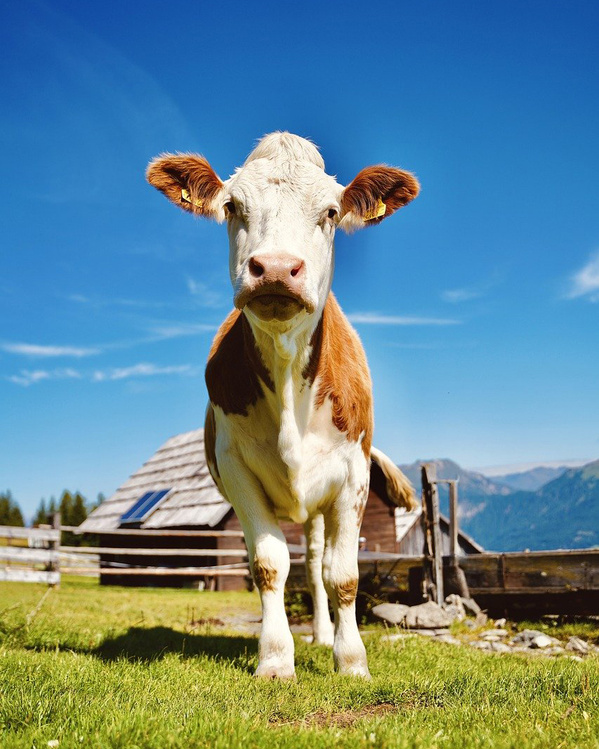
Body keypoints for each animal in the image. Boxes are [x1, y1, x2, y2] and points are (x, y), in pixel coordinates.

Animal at [147, 132, 419, 679]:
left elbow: (343, 574)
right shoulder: (236, 471)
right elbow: (269, 565)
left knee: (316, 564)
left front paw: (350, 659)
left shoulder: (353, 474)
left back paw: (322, 634)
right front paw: (274, 658)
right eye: (232, 206)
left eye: (331, 212)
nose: (274, 268)